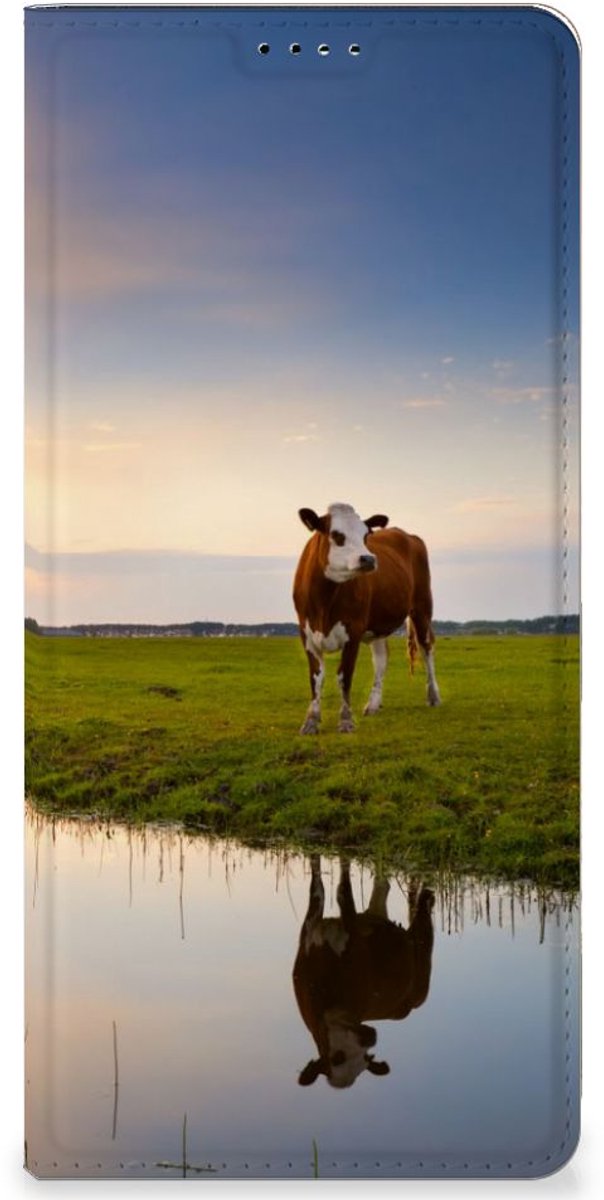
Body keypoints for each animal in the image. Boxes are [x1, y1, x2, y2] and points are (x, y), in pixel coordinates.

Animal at [292, 855, 434, 1089]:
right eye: (337, 1058)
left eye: (365, 1059)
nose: (370, 1037)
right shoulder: (309, 930)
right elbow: (318, 885)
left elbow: (343, 891)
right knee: (382, 886)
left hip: (422, 963)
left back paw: (427, 895)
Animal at [293, 502, 440, 733]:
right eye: (336, 535)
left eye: (365, 535)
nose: (369, 558)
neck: (324, 601)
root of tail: (407, 534)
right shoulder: (306, 633)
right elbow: (316, 677)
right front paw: (311, 721)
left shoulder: (353, 631)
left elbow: (344, 676)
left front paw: (346, 721)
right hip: (378, 625)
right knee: (381, 659)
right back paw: (373, 704)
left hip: (422, 607)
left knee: (427, 648)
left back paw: (433, 695)